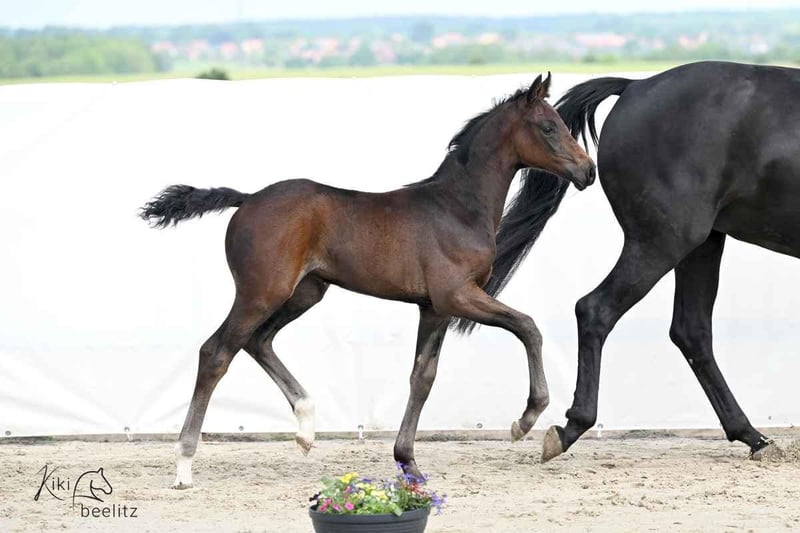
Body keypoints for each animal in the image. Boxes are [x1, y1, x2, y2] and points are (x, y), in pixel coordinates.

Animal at [140, 74, 596, 488]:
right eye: (548, 127)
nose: (588, 171)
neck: (457, 207)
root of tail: (247, 199)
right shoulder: (457, 296)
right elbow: (528, 327)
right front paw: (527, 420)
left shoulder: (433, 308)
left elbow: (422, 377)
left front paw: (408, 463)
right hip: (260, 293)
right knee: (216, 352)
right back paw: (184, 466)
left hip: (305, 293)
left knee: (258, 341)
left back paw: (306, 429)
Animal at [463, 61, 798, 462]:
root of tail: (635, 86)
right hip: (663, 241)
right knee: (596, 309)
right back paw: (570, 427)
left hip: (700, 244)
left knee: (691, 331)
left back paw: (752, 436)